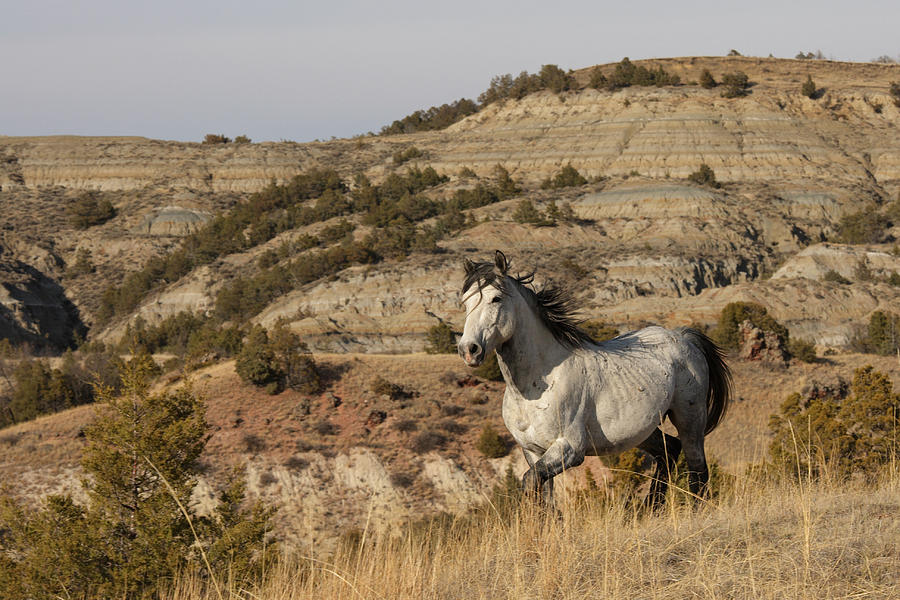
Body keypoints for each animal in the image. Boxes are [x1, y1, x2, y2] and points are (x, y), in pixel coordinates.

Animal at [458, 251, 732, 504]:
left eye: (496, 298)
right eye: (465, 302)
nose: (469, 349)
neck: (533, 388)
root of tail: (684, 336)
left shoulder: (569, 449)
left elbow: (531, 481)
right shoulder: (533, 451)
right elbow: (544, 497)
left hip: (690, 418)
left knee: (697, 468)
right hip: (641, 431)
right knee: (669, 452)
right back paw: (650, 508)